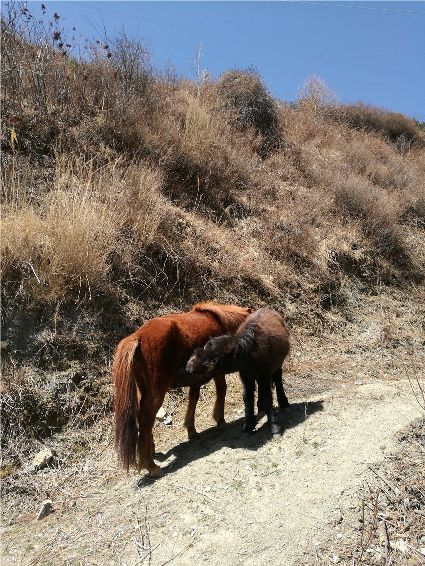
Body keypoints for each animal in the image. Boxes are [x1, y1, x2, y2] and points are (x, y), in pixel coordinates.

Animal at [113, 302, 253, 476]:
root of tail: (138, 336)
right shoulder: (218, 370)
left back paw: (151, 451)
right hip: (156, 392)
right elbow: (222, 390)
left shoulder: (196, 377)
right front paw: (220, 420)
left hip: (144, 391)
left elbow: (194, 398)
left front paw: (191, 430)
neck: (221, 322)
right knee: (146, 420)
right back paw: (151, 466)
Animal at [186, 307, 290, 436]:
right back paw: (261, 408)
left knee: (278, 380)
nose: (189, 368)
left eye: (209, 364)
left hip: (277, 366)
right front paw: (248, 426)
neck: (249, 353)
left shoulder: (264, 373)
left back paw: (284, 403)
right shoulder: (246, 375)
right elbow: (247, 398)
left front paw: (274, 427)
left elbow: (267, 398)